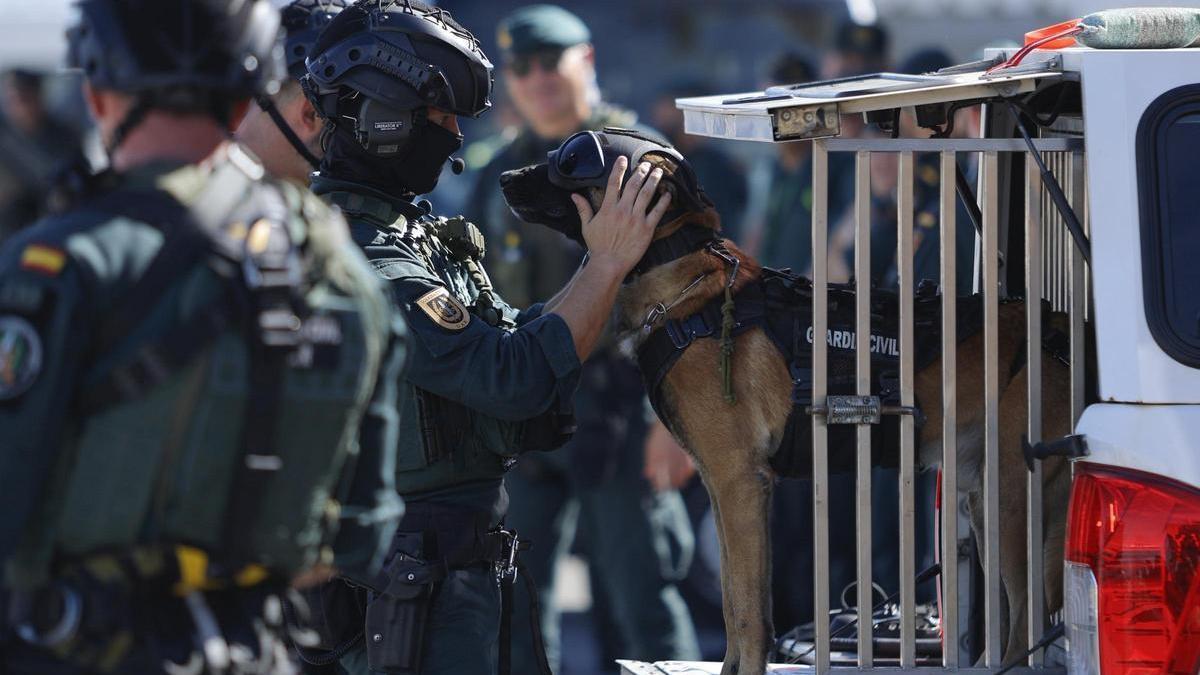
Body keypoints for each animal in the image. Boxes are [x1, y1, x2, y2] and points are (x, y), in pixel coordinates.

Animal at [496, 128, 1070, 667]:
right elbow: (732, 601)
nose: (502, 177)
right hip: (984, 500)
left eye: (573, 158)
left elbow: (750, 611)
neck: (681, 279)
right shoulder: (721, 487)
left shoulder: (740, 482)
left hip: (1009, 498)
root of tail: (1063, 332)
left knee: (1030, 613)